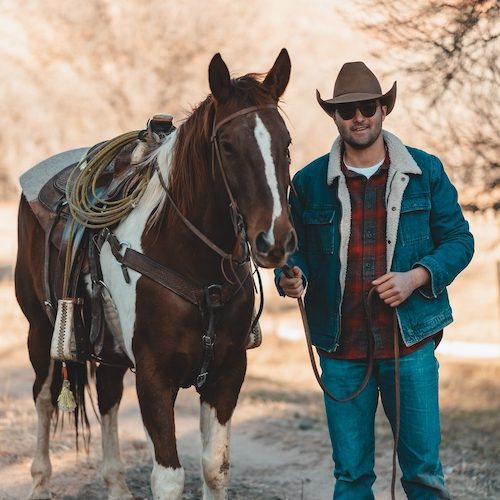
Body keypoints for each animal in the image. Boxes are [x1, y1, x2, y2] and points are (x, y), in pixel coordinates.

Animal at [15, 49, 294, 500]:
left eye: (285, 143)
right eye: (228, 146)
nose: (275, 239)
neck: (195, 267)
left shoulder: (227, 373)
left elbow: (215, 468)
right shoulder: (154, 377)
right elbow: (168, 478)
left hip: (107, 349)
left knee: (108, 397)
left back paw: (115, 484)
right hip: (40, 330)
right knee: (45, 396)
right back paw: (40, 481)